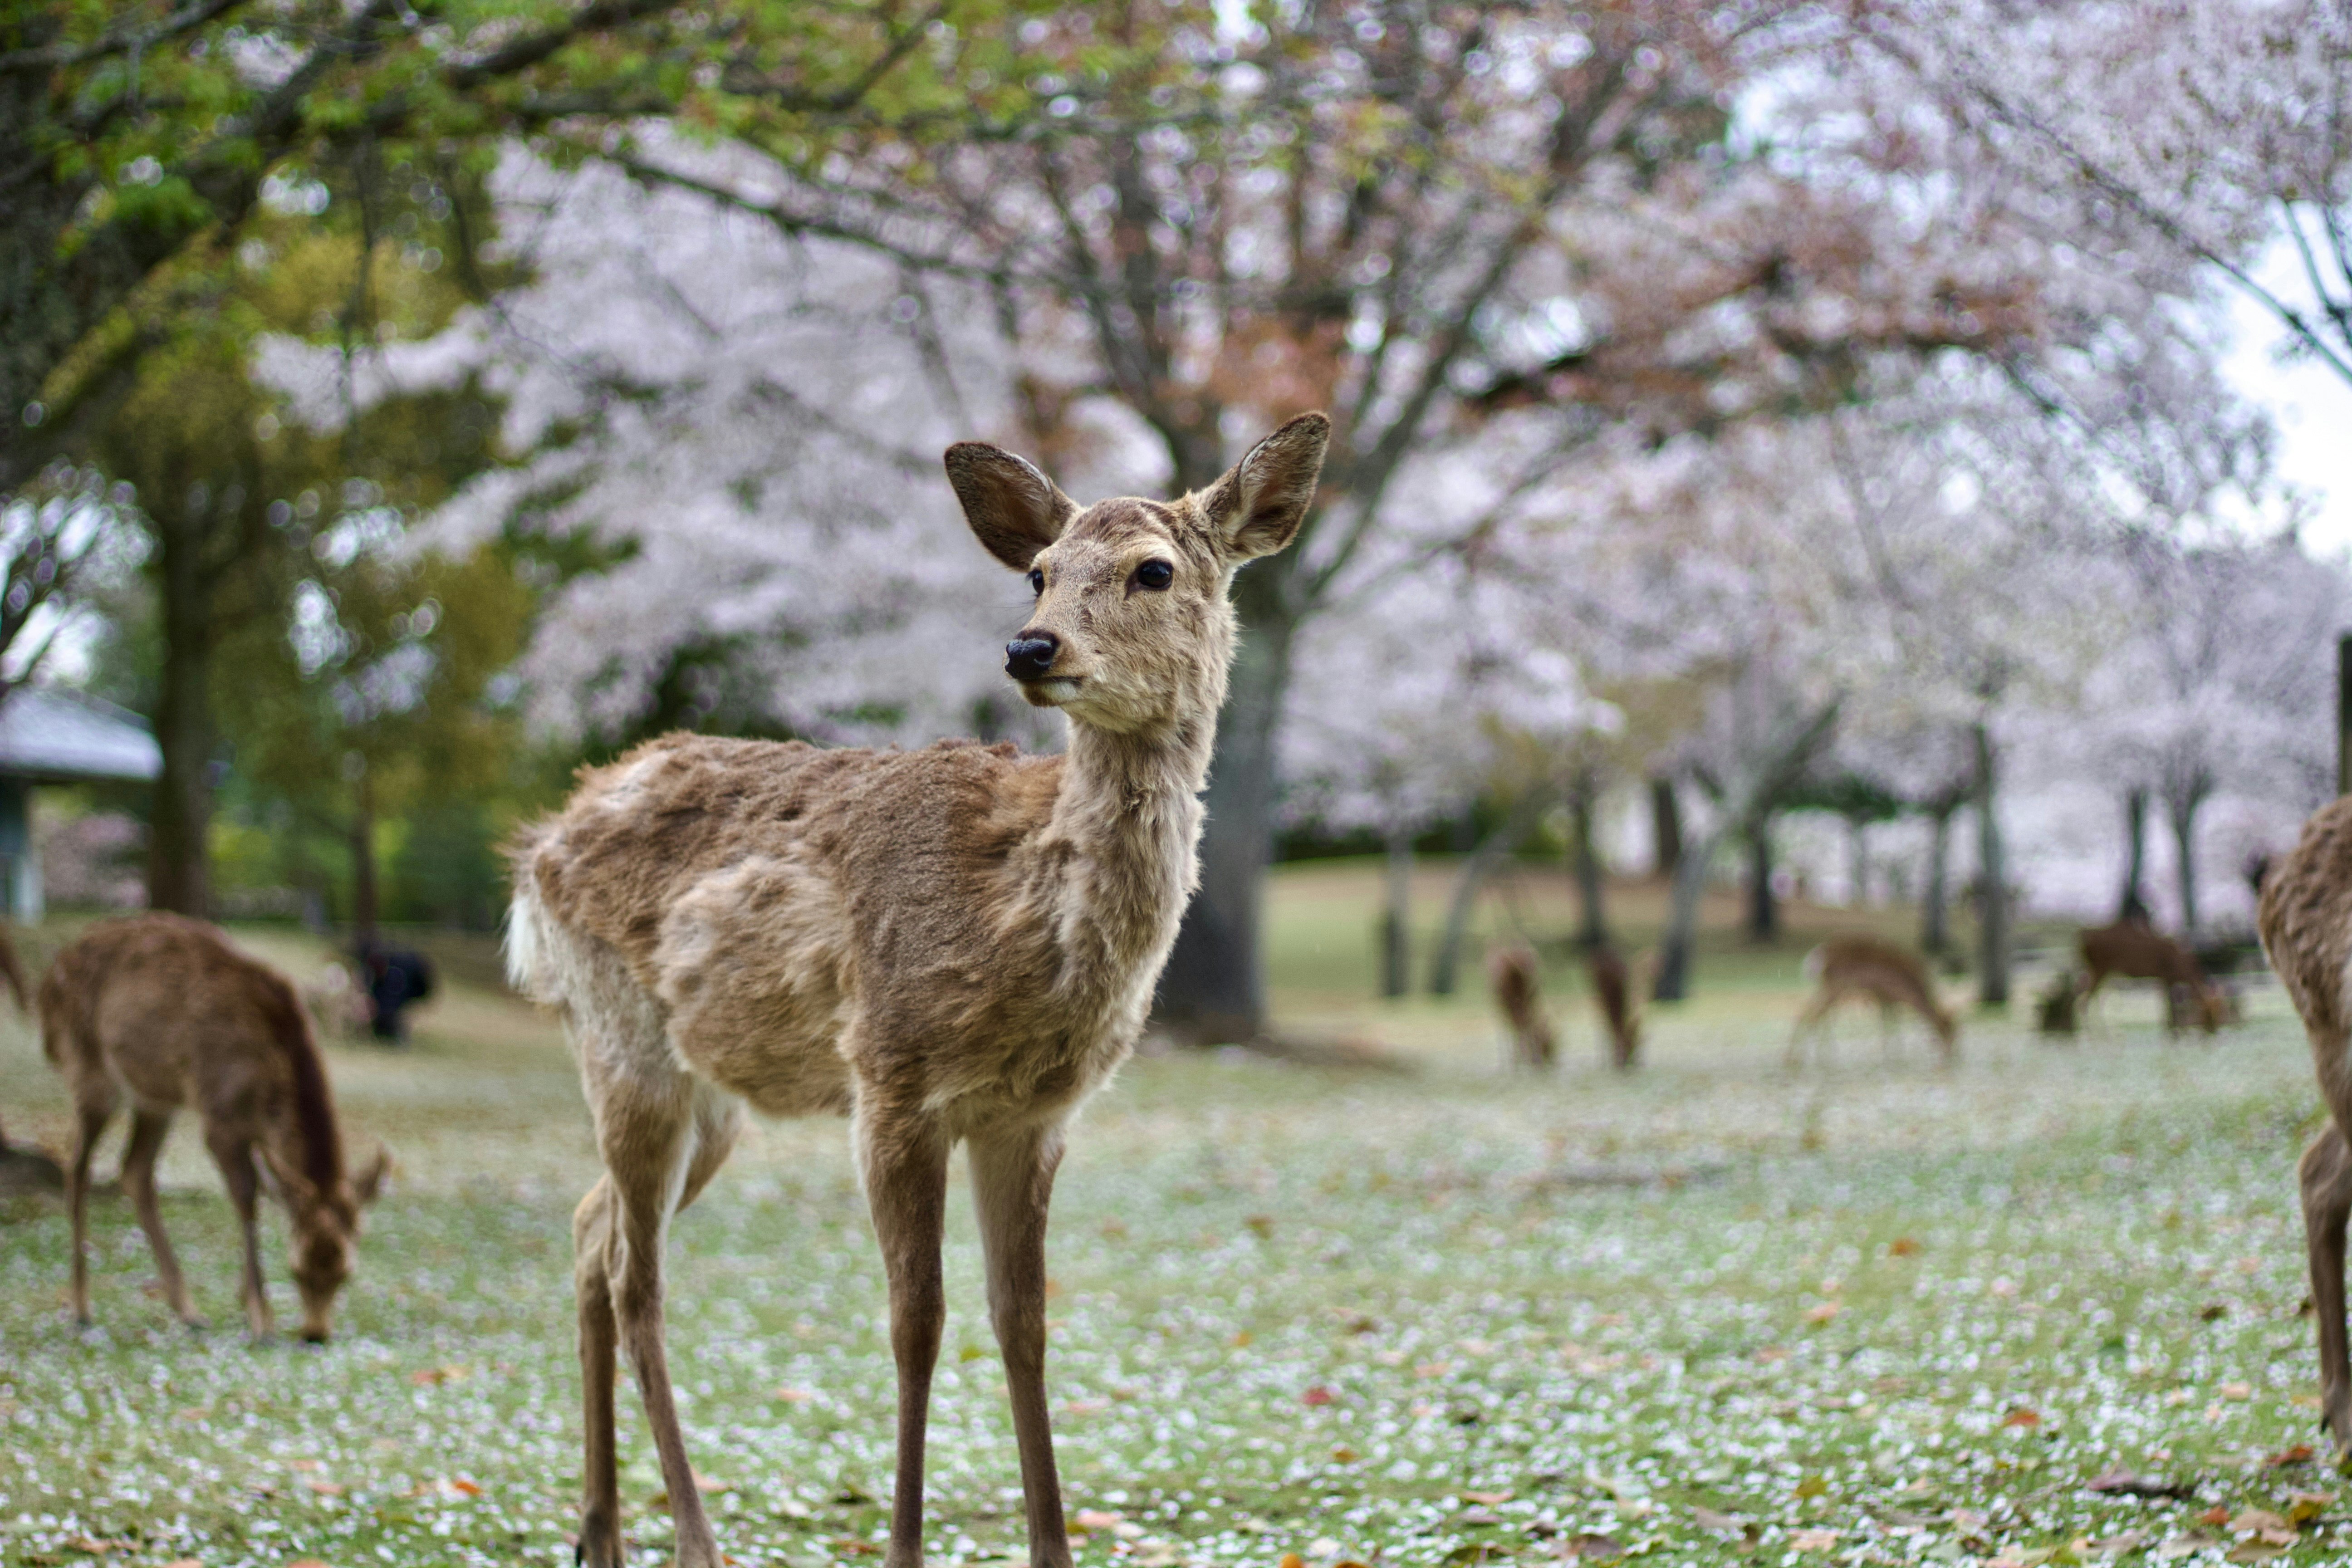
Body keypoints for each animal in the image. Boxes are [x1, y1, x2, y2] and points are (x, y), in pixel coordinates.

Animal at [41, 914, 388, 1341]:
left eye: (346, 1274)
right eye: (296, 1269)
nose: (315, 1334)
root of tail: (47, 985)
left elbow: (261, 1195)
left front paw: (244, 1302)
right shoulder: (221, 1116)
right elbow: (247, 1196)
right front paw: (260, 1316)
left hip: (157, 1098)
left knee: (135, 1169)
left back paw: (188, 1310)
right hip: (89, 1067)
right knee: (77, 1163)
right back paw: (80, 1306)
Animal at [504, 414, 1332, 1568]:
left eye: (1153, 569)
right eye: (1037, 573)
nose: (1031, 648)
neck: (1019, 916)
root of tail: (542, 843)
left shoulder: (1032, 1114)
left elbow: (1024, 1320)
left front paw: (1054, 1549)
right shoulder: (893, 1077)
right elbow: (917, 1322)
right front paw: (902, 1544)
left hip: (710, 1095)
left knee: (592, 1232)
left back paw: (599, 1533)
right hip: (623, 1040)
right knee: (638, 1275)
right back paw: (693, 1537)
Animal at [1488, 945, 1555, 1069]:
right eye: (1549, 1041)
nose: (1552, 1061)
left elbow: (1522, 1024)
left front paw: (1525, 1058)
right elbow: (1519, 1024)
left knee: (1519, 1021)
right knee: (1516, 1022)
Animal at [1786, 934, 1958, 1070]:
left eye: (1957, 1032)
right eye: (1948, 1031)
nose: (1951, 1054)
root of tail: (1814, 958)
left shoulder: (1885, 997)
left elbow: (1890, 1024)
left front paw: (1893, 1054)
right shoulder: (1888, 993)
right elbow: (1892, 1024)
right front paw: (1894, 1056)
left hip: (1830, 986)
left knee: (1809, 1012)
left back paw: (1800, 1057)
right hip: (1837, 985)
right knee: (1813, 1013)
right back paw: (1808, 1058)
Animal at [2076, 919, 2226, 1034]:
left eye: (2220, 1010)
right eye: (2208, 1012)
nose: (2213, 1031)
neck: (2184, 966)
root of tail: (2083, 937)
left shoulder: (2163, 978)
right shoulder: (2167, 976)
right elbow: (2172, 1008)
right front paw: (2173, 1033)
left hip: (2101, 970)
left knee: (2088, 992)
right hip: (2101, 967)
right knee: (2085, 998)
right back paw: (2094, 1033)